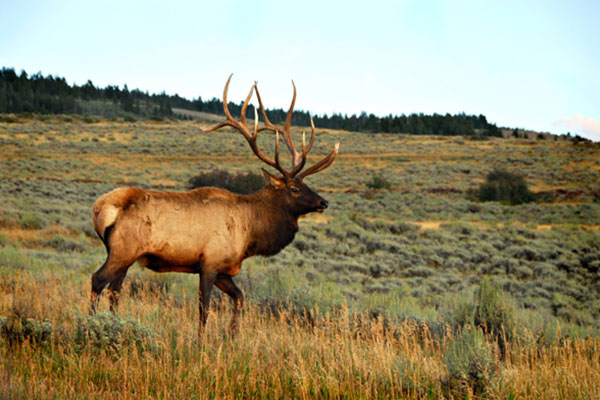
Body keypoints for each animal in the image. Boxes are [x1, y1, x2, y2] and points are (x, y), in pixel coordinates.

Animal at [91, 74, 340, 334]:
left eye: (306, 183)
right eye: (294, 188)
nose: (323, 202)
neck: (250, 233)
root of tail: (100, 209)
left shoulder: (224, 270)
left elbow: (240, 297)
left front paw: (232, 334)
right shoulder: (209, 264)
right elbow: (204, 311)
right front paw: (202, 340)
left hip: (126, 256)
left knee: (115, 290)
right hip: (123, 250)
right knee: (98, 280)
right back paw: (92, 324)